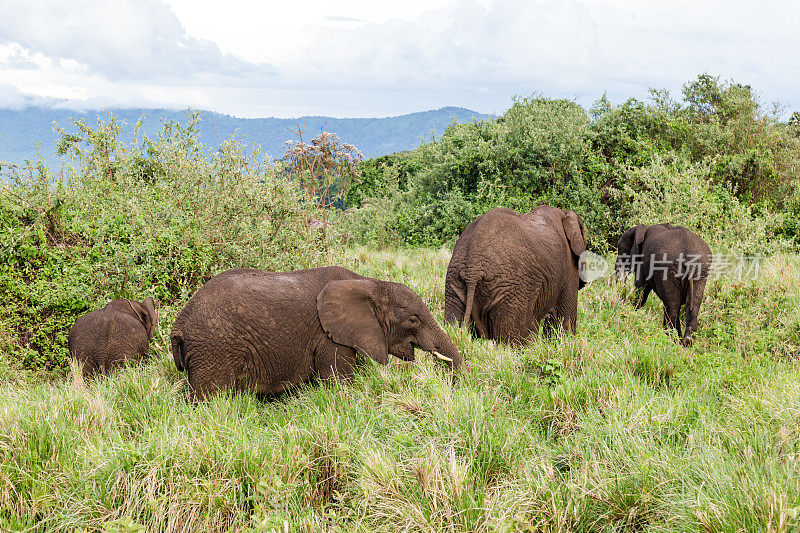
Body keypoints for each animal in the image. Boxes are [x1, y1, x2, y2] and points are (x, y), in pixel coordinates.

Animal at [169, 264, 462, 396]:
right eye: (413, 321)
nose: (455, 385)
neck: (370, 283)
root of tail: (180, 321)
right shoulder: (329, 337)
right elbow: (339, 383)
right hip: (214, 350)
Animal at [444, 206, 588, 342]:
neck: (564, 213)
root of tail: (473, 269)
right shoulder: (568, 267)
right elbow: (562, 319)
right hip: (513, 291)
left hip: (455, 283)